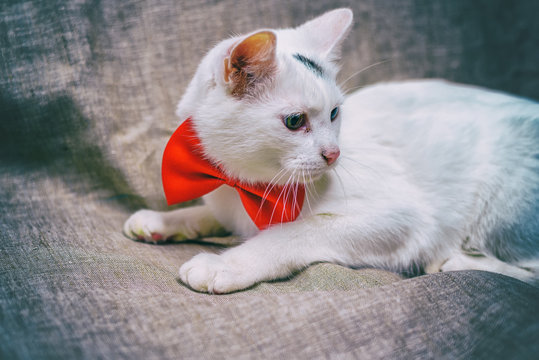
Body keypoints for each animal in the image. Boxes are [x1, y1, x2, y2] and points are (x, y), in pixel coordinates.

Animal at [124, 8, 539, 294]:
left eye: (335, 113)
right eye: (295, 121)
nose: (334, 154)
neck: (247, 186)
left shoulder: (405, 219)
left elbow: (293, 233)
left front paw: (225, 264)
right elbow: (213, 215)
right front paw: (163, 220)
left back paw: (454, 261)